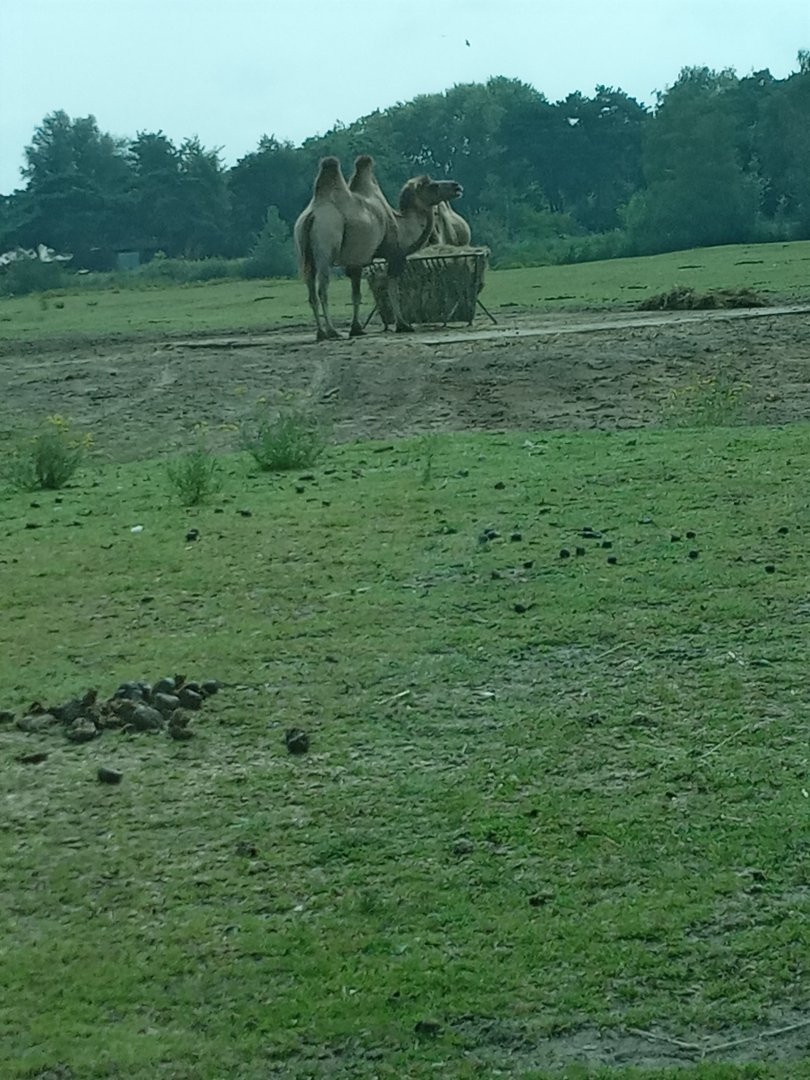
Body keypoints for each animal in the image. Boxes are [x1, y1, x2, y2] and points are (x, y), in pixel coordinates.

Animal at [294, 155, 463, 341]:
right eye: (433, 186)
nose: (457, 186)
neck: (402, 226)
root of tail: (311, 215)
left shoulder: (356, 261)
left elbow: (356, 294)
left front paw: (357, 329)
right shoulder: (394, 255)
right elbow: (393, 290)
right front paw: (403, 325)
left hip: (305, 254)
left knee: (311, 289)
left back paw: (321, 332)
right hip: (326, 243)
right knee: (322, 288)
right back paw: (332, 331)